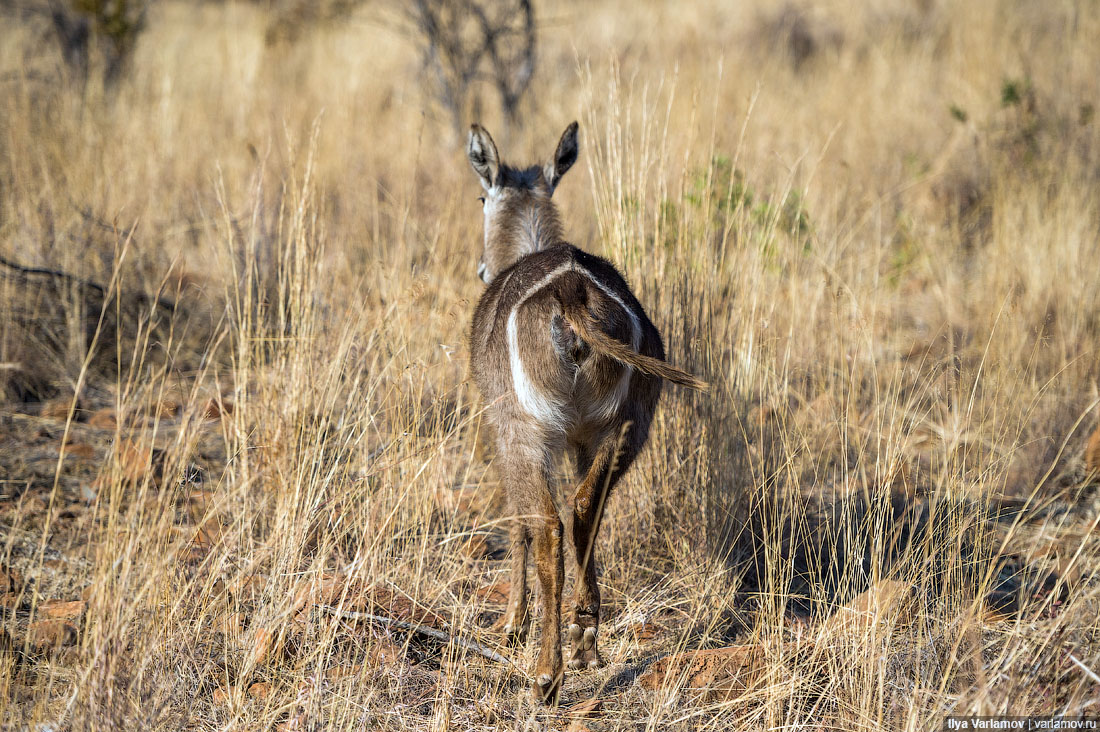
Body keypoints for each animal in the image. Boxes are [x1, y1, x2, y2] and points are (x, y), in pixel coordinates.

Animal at [464, 121, 704, 704]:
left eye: (482, 197)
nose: (479, 267)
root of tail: (569, 289)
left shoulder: (502, 429)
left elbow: (519, 525)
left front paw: (511, 624)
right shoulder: (582, 439)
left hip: (527, 431)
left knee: (548, 525)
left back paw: (546, 675)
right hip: (622, 428)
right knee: (584, 509)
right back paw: (584, 641)